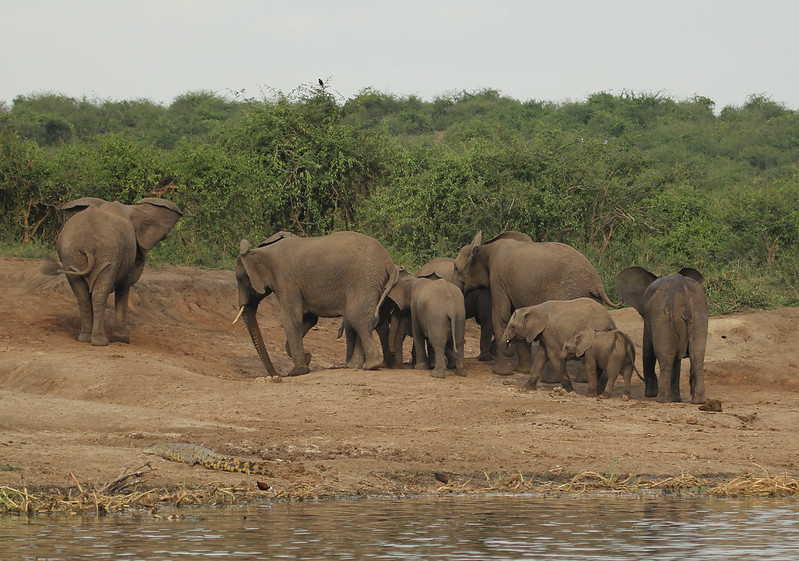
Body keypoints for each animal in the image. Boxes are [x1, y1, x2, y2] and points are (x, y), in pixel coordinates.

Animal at [50, 196, 185, 346]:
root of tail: (87, 245)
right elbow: (124, 288)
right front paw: (123, 339)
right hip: (108, 256)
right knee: (100, 293)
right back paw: (100, 342)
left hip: (72, 257)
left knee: (83, 296)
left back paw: (85, 338)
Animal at [236, 230, 400, 378]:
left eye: (239, 278)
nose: (277, 376)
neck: (261, 252)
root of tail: (389, 263)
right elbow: (309, 318)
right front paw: (306, 358)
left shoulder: (285, 280)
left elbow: (291, 319)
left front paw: (297, 372)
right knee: (361, 319)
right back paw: (357, 366)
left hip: (363, 280)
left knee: (357, 318)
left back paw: (371, 365)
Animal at [454, 230, 616, 374]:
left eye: (456, 268)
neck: (486, 246)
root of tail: (597, 284)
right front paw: (522, 370)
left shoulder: (498, 278)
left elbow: (502, 317)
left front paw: (501, 372)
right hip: (592, 299)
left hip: (570, 293)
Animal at [616, 266, 708, 402]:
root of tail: (684, 291)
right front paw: (676, 399)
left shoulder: (649, 317)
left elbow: (648, 350)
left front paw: (650, 394)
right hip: (698, 316)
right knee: (697, 355)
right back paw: (697, 401)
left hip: (664, 318)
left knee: (665, 355)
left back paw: (661, 399)